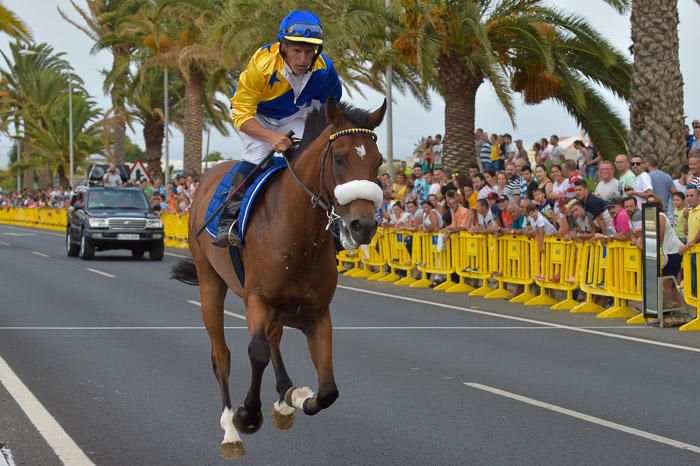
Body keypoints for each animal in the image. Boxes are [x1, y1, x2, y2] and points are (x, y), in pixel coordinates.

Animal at [172, 98, 386, 458]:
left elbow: (328, 390)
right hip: (210, 281)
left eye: (379, 161)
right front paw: (247, 415)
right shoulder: (256, 297)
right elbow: (256, 351)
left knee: (273, 338)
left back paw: (286, 396)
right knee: (222, 356)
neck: (299, 235)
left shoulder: (317, 312)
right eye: (339, 157)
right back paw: (230, 430)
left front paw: (295, 398)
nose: (363, 225)